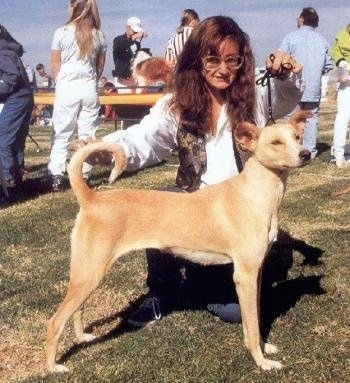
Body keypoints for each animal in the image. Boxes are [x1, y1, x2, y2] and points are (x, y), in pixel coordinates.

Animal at [45, 110, 310, 372]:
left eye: (298, 137)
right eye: (276, 142)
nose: (306, 153)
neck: (255, 194)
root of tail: (91, 199)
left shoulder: (256, 273)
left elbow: (255, 318)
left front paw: (265, 348)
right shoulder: (244, 276)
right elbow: (252, 328)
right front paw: (262, 361)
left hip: (85, 274)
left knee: (77, 310)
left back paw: (82, 338)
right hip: (90, 273)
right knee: (55, 321)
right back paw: (53, 367)